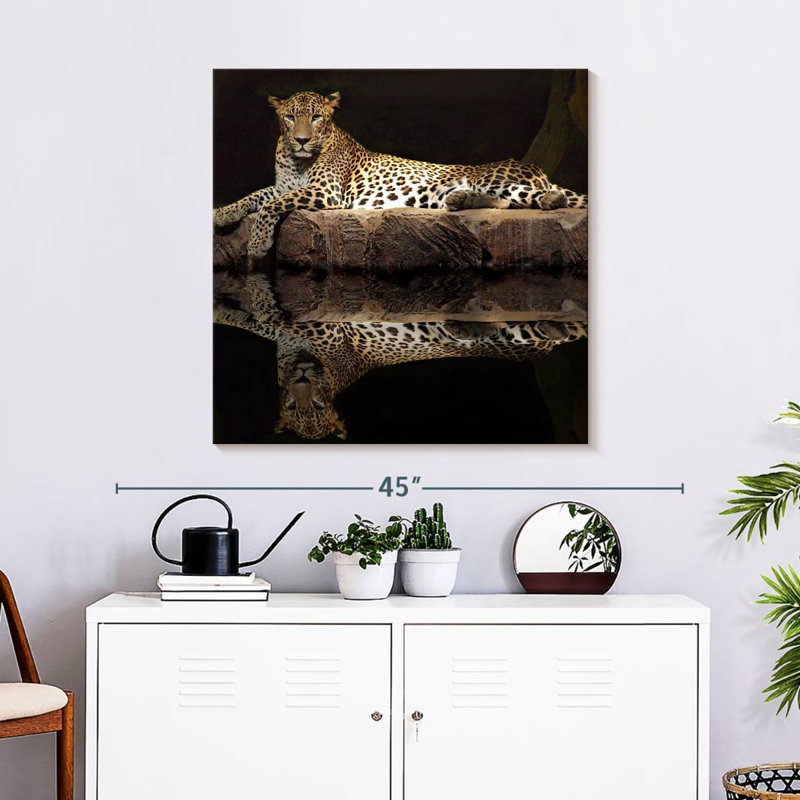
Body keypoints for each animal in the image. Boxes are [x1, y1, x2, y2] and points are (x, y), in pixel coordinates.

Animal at [213, 90, 587, 267]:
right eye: (290, 117)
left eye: (317, 117)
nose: (302, 140)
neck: (295, 159)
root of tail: (536, 168)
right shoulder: (283, 185)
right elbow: (255, 196)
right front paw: (222, 214)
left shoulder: (326, 192)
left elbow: (272, 206)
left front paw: (258, 244)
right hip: (439, 194)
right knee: (504, 201)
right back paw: (460, 199)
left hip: (495, 178)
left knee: (525, 196)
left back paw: (549, 199)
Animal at [215, 275, 586, 440]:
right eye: (293, 407)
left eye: (318, 407)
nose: (303, 380)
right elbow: (250, 318)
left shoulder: (321, 329)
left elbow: (271, 313)